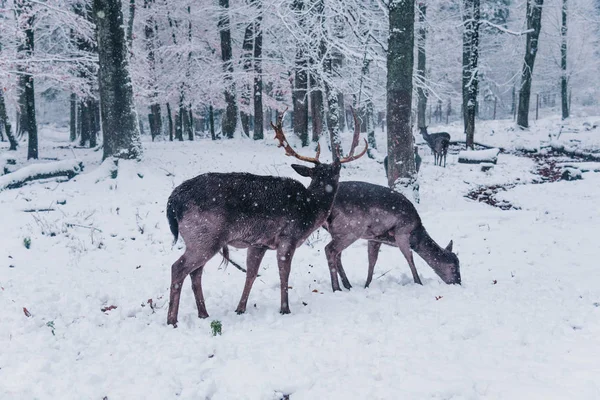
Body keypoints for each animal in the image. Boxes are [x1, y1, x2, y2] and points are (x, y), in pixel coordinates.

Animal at [164, 108, 366, 324]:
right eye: (318, 172)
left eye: (334, 171)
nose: (332, 181)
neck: (309, 210)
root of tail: (173, 201)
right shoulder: (288, 236)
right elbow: (284, 273)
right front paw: (285, 309)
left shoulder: (258, 243)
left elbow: (251, 274)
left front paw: (240, 308)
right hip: (205, 236)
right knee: (178, 268)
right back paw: (172, 320)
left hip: (201, 240)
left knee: (196, 273)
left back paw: (204, 313)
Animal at [324, 181, 460, 290]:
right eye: (453, 267)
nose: (458, 282)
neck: (416, 236)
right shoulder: (402, 233)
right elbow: (409, 258)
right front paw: (419, 283)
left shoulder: (374, 238)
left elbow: (372, 261)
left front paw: (367, 285)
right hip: (352, 228)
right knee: (329, 249)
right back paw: (336, 288)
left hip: (338, 231)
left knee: (337, 254)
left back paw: (348, 285)